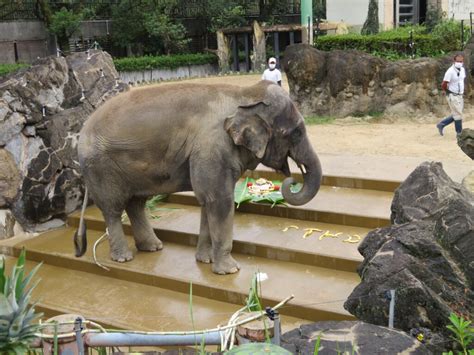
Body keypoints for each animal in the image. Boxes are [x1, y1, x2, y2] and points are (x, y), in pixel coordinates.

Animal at [74, 80, 324, 276]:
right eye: (296, 132)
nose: (291, 180)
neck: (245, 94)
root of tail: (82, 130)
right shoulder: (212, 146)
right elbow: (219, 200)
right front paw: (230, 270)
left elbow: (208, 201)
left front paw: (206, 260)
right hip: (101, 168)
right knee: (113, 209)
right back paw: (124, 258)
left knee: (136, 203)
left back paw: (152, 247)